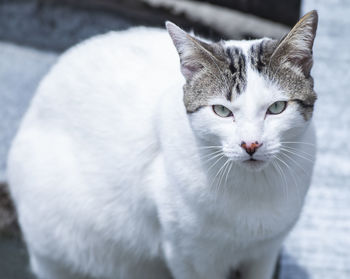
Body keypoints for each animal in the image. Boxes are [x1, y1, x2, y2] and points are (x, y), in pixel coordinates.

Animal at [6, 9, 318, 279]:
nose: (250, 144)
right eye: (221, 111)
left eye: (276, 108)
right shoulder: (189, 256)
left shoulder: (265, 252)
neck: (254, 190)